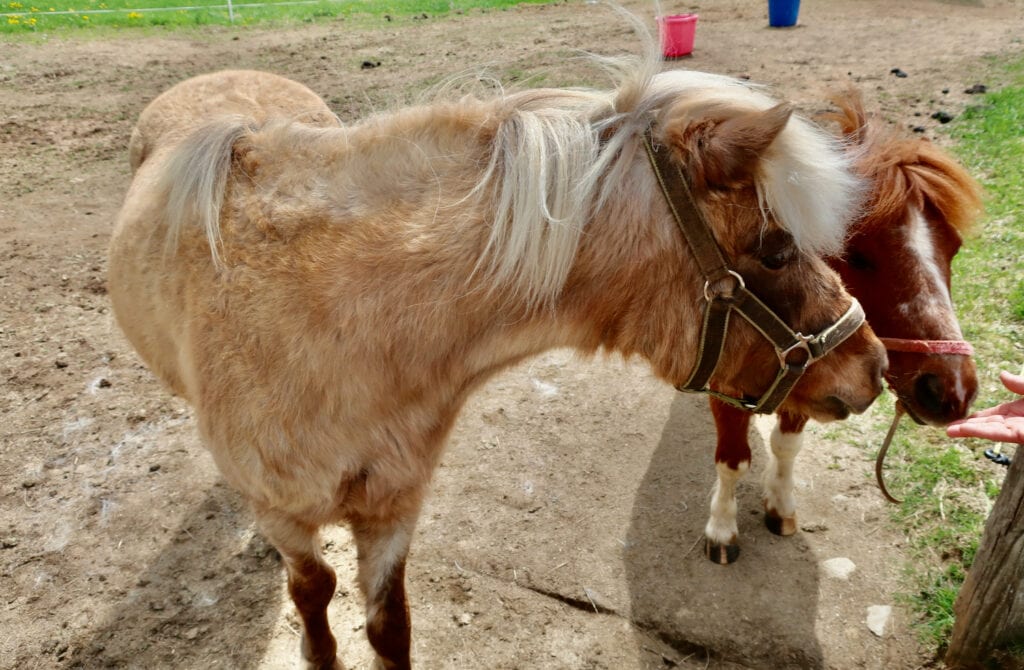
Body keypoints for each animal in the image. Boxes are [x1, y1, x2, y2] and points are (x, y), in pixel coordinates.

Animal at [108, 59, 887, 669]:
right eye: (777, 249)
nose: (874, 366)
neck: (332, 322)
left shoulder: (394, 509)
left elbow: (390, 626)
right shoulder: (286, 516)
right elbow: (314, 597)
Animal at [702, 90, 983, 564]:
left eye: (956, 249)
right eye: (858, 254)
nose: (952, 391)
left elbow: (786, 446)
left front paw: (781, 506)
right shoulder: (725, 386)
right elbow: (732, 460)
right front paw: (722, 528)